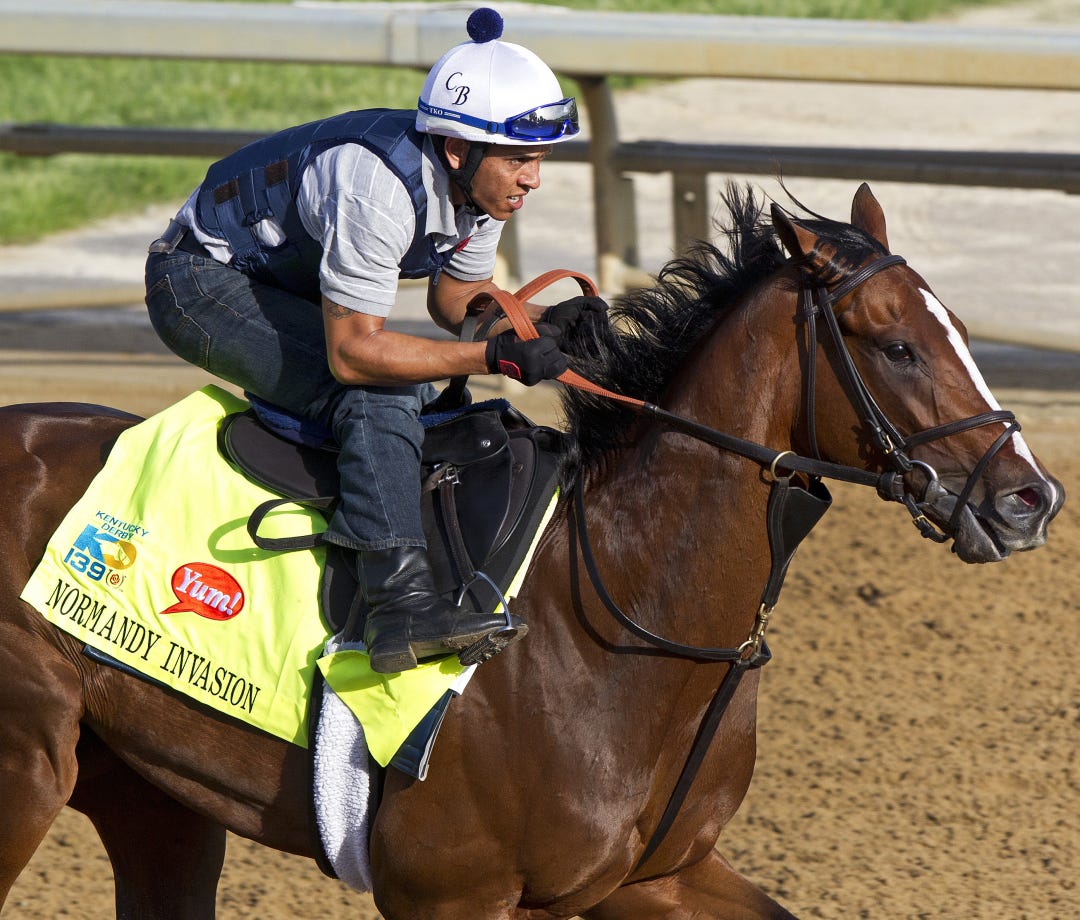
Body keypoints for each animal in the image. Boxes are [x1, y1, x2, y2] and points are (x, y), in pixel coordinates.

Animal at [0, 182, 1063, 919]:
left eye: (961, 329)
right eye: (894, 345)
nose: (1029, 499)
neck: (619, 613)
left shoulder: (653, 874)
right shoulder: (452, 893)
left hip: (148, 795)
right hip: (29, 770)